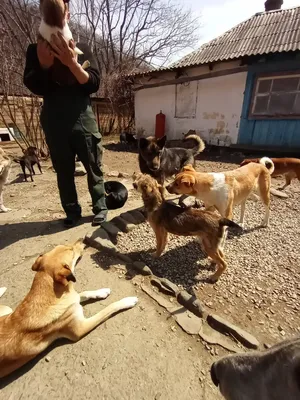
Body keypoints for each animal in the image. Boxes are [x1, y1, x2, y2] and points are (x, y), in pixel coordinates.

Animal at [0, 241, 138, 378]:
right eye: (71, 250)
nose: (82, 241)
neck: (52, 294)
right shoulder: (80, 329)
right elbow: (109, 308)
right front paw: (128, 301)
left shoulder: (73, 300)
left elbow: (83, 294)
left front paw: (102, 291)